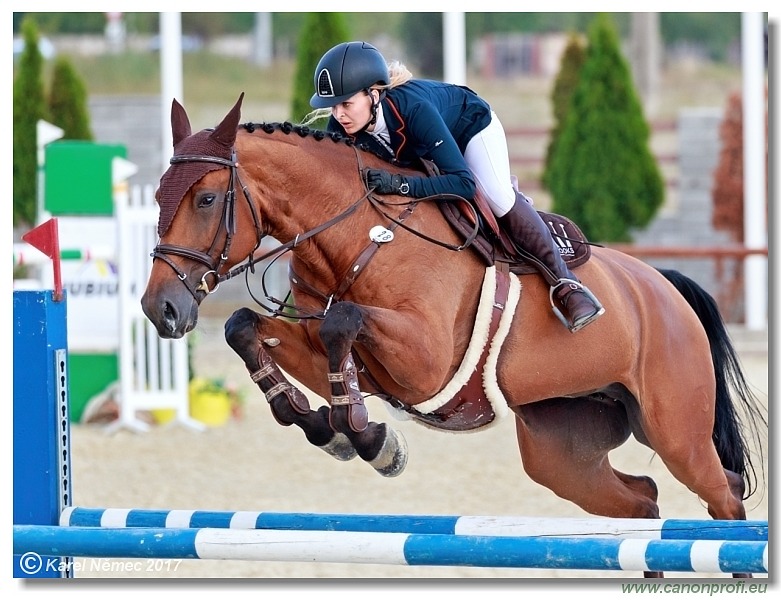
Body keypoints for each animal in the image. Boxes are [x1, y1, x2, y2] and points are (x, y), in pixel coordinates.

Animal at [140, 95, 760, 576]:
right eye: (158, 197)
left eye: (206, 199)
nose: (159, 309)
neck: (359, 234)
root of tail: (665, 287)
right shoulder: (335, 350)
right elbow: (247, 327)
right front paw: (327, 426)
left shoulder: (425, 361)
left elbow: (345, 324)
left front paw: (369, 438)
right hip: (562, 452)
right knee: (644, 504)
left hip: (676, 432)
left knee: (724, 496)